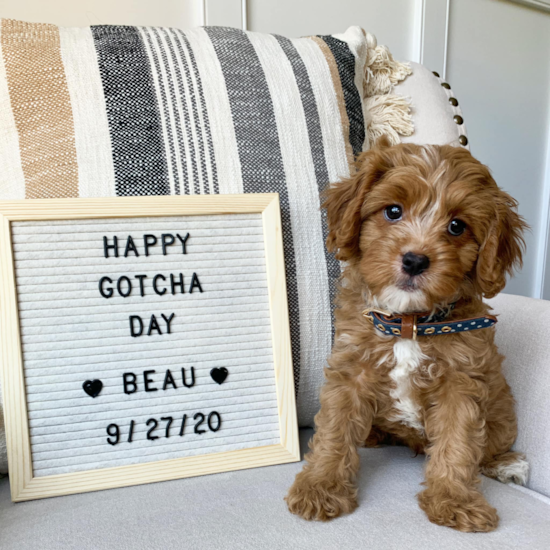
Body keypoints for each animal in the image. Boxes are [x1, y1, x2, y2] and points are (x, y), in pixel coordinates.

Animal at [286, 139, 528, 536]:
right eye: (393, 211)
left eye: (457, 226)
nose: (415, 260)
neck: (409, 323)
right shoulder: (351, 369)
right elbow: (335, 430)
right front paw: (321, 487)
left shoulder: (461, 382)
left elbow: (458, 444)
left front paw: (455, 500)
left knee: (492, 446)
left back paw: (508, 464)